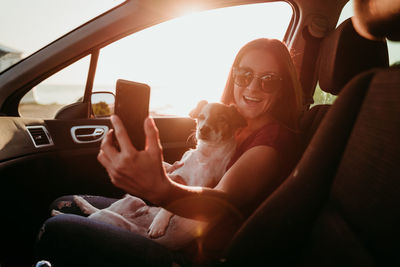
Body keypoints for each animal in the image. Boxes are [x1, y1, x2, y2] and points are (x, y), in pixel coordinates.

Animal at [52, 100, 247, 249]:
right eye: (201, 117)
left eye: (222, 119)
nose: (204, 129)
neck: (204, 155)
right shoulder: (176, 169)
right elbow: (167, 166)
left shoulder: (197, 188)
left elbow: (170, 205)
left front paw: (159, 223)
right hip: (132, 200)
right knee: (97, 209)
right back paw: (75, 204)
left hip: (107, 218)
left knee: (92, 214)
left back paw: (60, 212)